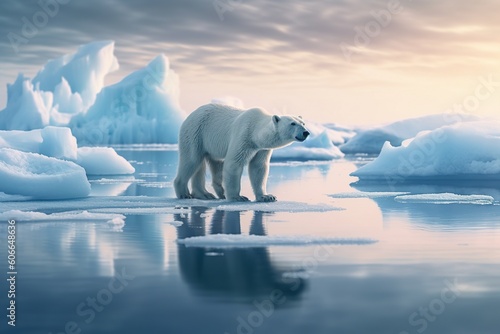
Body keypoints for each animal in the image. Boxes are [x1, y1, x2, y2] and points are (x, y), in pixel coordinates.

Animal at [175, 103, 308, 201]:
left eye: (303, 123)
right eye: (292, 123)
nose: (306, 132)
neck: (255, 132)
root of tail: (190, 115)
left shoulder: (261, 149)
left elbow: (258, 168)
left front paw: (267, 196)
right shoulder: (243, 137)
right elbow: (234, 163)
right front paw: (238, 197)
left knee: (212, 164)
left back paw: (207, 194)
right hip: (195, 133)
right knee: (191, 160)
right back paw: (184, 194)